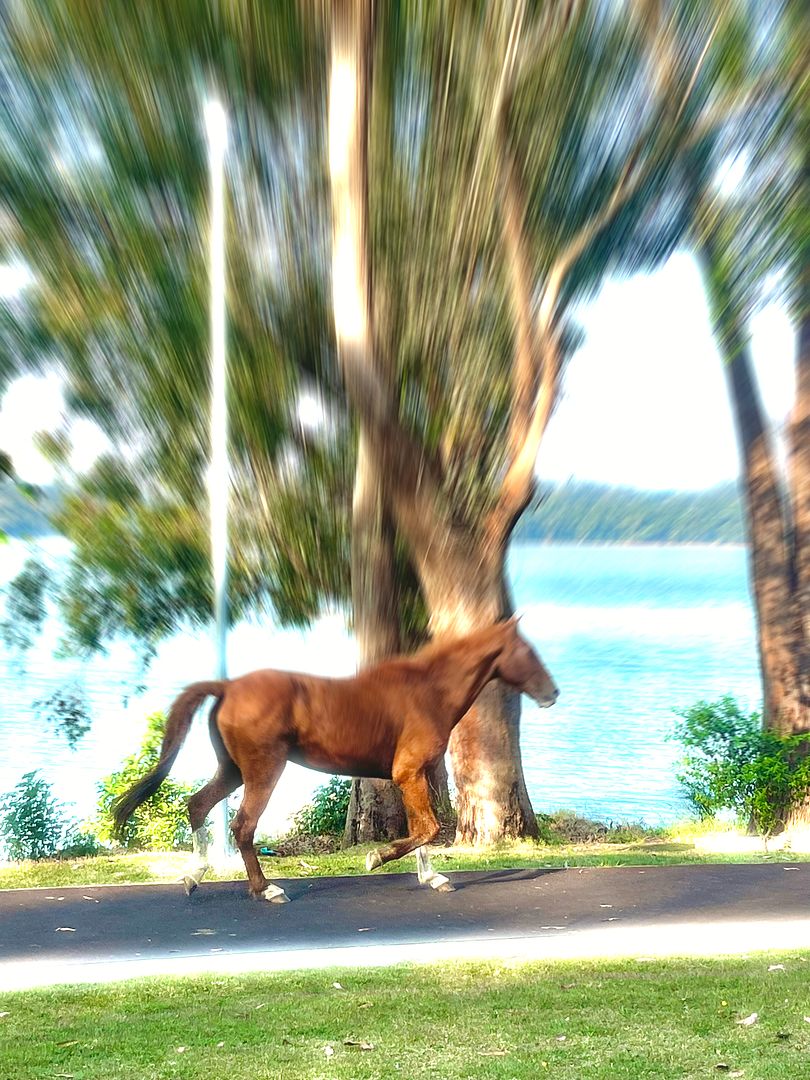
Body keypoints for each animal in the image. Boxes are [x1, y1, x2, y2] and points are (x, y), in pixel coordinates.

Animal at [112, 617, 557, 902]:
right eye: (527, 651)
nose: (552, 692)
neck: (429, 691)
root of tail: (228, 687)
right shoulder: (408, 772)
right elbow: (427, 828)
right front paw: (376, 857)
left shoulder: (416, 775)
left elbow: (422, 829)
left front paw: (432, 877)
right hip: (264, 770)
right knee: (242, 826)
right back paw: (265, 889)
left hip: (233, 770)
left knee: (198, 805)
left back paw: (194, 876)